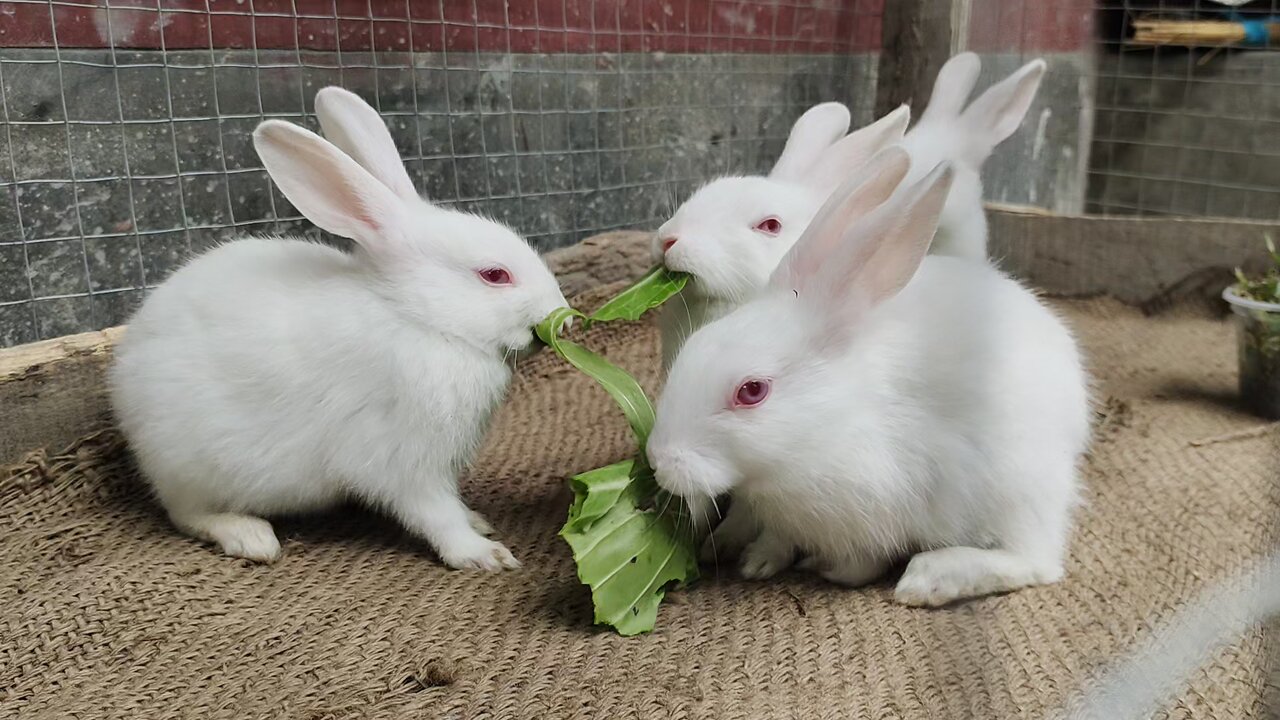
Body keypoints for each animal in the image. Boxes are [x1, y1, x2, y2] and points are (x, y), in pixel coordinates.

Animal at [110, 85, 565, 566]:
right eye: (494, 275)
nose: (559, 315)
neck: (415, 317)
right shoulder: (400, 460)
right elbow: (435, 513)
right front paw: (482, 554)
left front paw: (477, 520)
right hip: (192, 466)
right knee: (187, 514)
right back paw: (252, 538)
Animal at [650, 147, 1090, 604]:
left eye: (752, 391)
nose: (660, 462)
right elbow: (775, 536)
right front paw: (759, 561)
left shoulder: (880, 508)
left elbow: (861, 563)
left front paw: (824, 568)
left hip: (1017, 486)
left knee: (1035, 560)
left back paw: (927, 579)